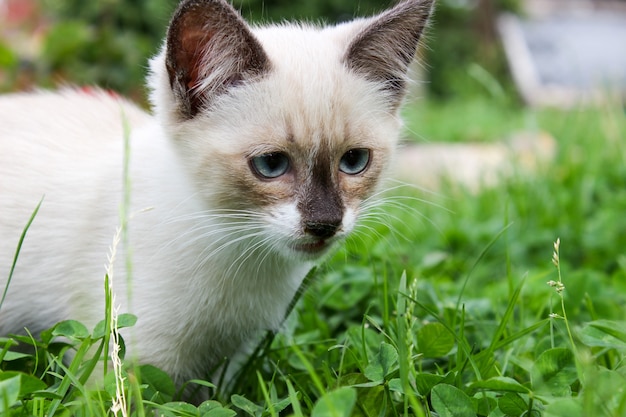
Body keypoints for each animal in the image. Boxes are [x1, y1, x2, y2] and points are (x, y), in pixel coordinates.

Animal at [0, 0, 432, 386]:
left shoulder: (231, 361)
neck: (240, 254)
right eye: (271, 164)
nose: (325, 223)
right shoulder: (125, 359)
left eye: (354, 160)